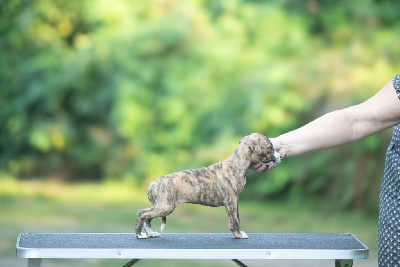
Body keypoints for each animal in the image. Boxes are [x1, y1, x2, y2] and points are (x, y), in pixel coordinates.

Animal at [135, 133, 282, 240]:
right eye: (270, 147)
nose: (280, 156)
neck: (237, 163)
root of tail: (153, 183)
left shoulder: (234, 202)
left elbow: (235, 218)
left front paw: (237, 233)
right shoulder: (231, 201)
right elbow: (235, 220)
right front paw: (238, 235)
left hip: (161, 205)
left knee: (147, 217)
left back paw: (151, 233)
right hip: (165, 206)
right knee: (142, 213)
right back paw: (139, 234)